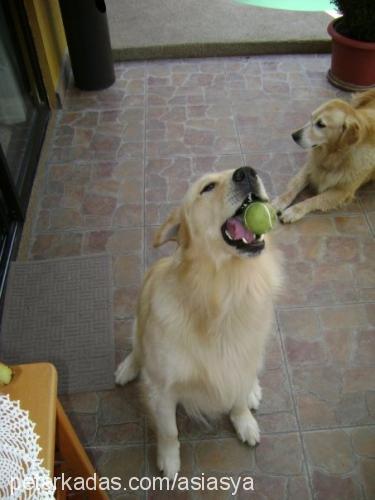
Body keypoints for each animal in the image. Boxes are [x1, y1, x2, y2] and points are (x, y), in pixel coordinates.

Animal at [114, 167, 282, 476]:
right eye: (207, 188)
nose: (246, 172)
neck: (223, 290)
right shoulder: (162, 390)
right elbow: (169, 431)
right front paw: (169, 461)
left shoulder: (239, 362)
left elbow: (238, 400)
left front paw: (245, 421)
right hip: (139, 318)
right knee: (137, 348)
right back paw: (127, 368)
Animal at [274, 89, 375, 223]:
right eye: (311, 117)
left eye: (321, 124)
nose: (294, 135)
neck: (335, 156)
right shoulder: (311, 165)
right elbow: (294, 186)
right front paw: (279, 202)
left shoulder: (342, 191)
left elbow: (315, 199)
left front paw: (294, 211)